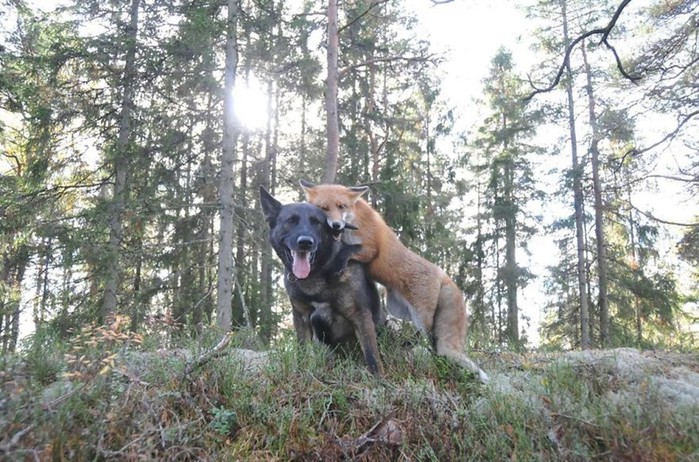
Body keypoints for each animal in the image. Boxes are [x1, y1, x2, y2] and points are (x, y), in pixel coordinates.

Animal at [260, 186, 386, 374]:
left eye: (316, 222)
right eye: (291, 221)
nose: (305, 242)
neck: (317, 273)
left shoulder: (360, 316)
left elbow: (372, 357)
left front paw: (378, 379)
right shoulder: (301, 317)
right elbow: (303, 352)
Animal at [300, 180, 486, 382]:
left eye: (341, 206)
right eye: (323, 208)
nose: (335, 225)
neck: (353, 220)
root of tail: (444, 274)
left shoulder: (370, 248)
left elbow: (349, 251)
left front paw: (338, 263)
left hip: (422, 317)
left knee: (430, 340)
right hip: (398, 309)